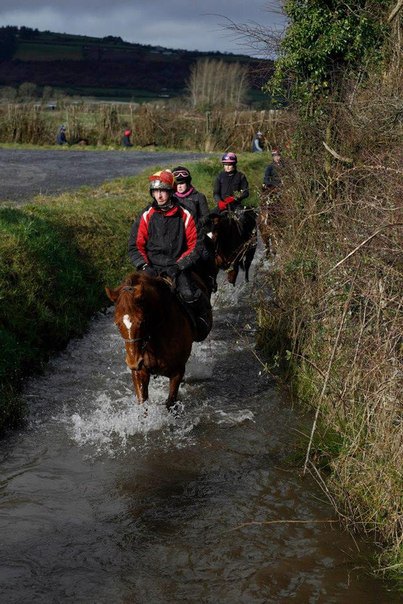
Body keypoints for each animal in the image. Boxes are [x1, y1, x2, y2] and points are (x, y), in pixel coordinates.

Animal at [105, 272, 213, 410]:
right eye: (117, 323)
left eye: (142, 322)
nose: (133, 362)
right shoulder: (140, 372)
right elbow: (143, 401)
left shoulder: (177, 371)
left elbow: (170, 402)